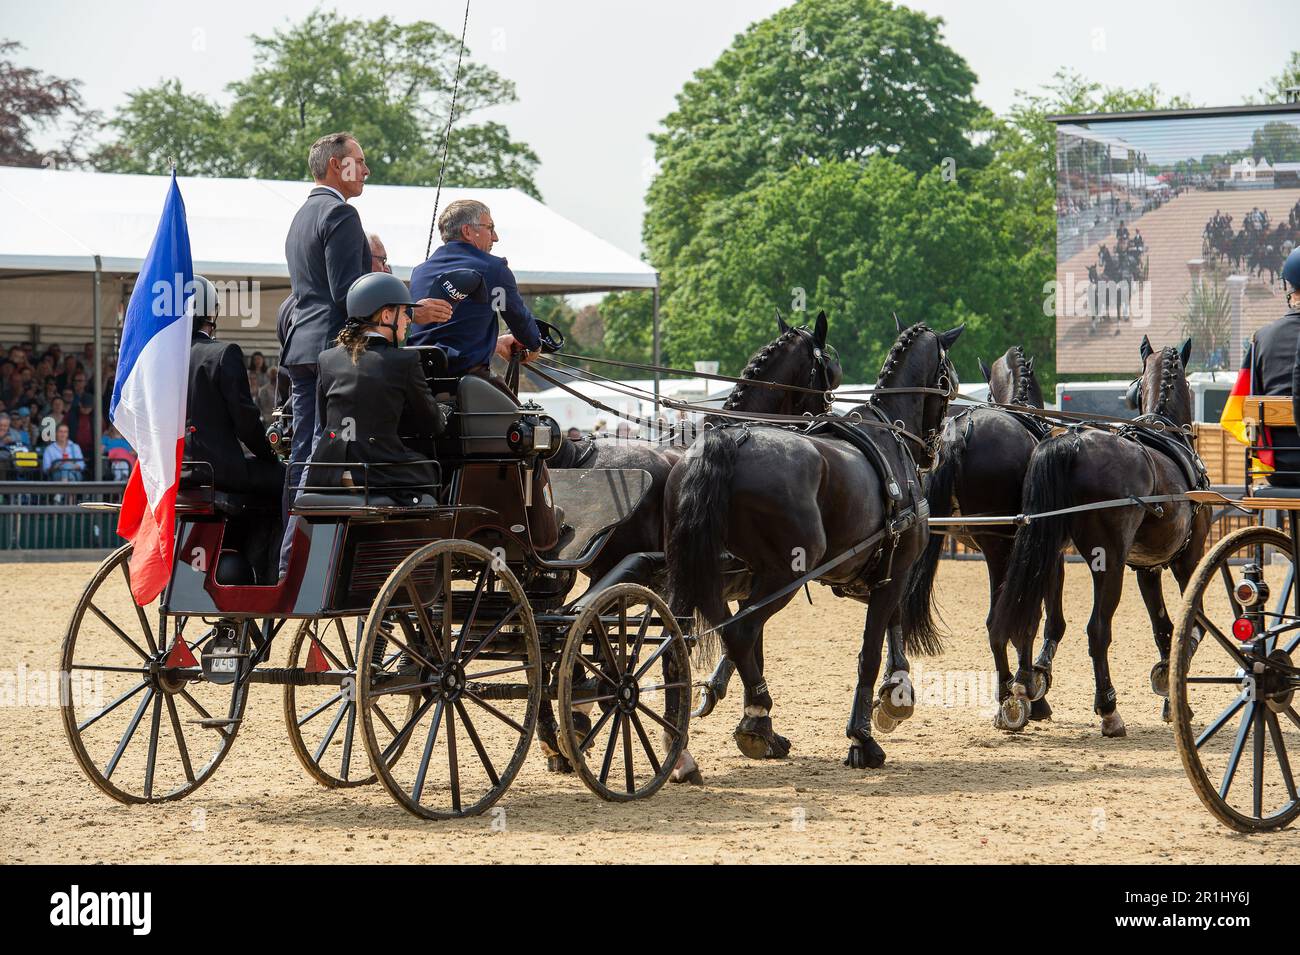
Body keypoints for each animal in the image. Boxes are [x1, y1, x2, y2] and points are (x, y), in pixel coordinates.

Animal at [665, 320, 961, 769]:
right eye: (949, 381)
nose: (933, 451)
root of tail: (731, 441)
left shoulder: (871, 571)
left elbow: (890, 624)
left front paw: (895, 694)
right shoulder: (895, 569)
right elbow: (870, 649)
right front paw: (863, 735)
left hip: (697, 578)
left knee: (694, 640)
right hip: (783, 574)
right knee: (740, 633)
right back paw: (756, 717)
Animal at [899, 348, 1060, 727]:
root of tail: (958, 435)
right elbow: (1040, 619)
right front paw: (1035, 686)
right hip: (999, 546)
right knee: (1007, 619)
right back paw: (1013, 696)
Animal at [987, 340, 1211, 738]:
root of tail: (1071, 444)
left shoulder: (1147, 568)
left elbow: (1165, 630)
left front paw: (1169, 691)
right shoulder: (1188, 560)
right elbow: (1191, 625)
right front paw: (1171, 688)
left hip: (1046, 551)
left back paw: (1023, 687)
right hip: (1109, 564)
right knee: (1097, 630)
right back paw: (1108, 709)